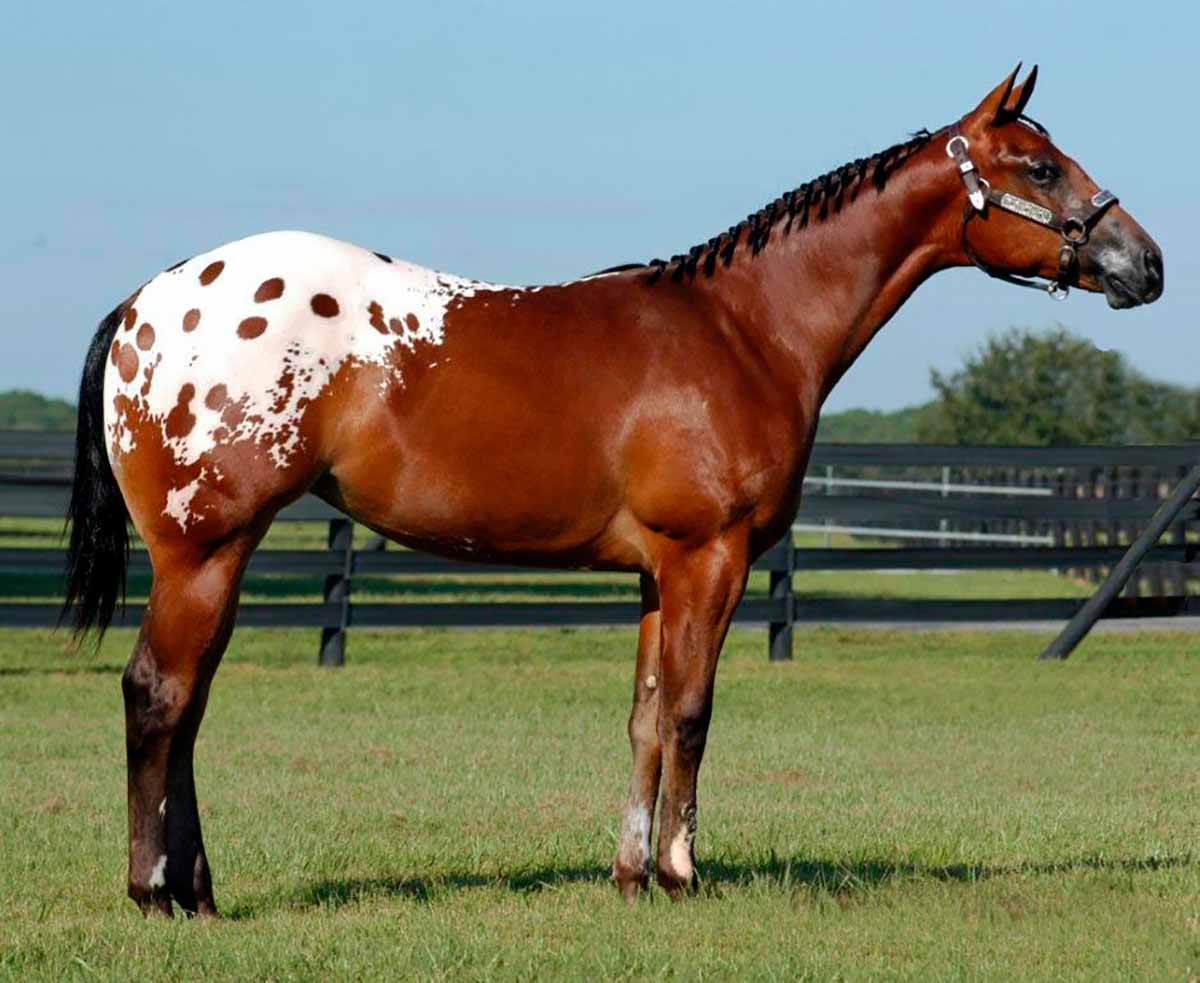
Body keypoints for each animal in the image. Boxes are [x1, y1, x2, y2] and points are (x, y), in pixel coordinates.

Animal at [58, 67, 1161, 916]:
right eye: (1040, 166)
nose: (1143, 263)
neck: (745, 329)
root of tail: (148, 298)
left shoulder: (654, 573)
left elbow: (643, 715)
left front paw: (629, 874)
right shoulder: (709, 555)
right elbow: (692, 714)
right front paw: (680, 874)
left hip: (221, 553)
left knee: (189, 703)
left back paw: (199, 889)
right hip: (204, 548)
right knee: (158, 694)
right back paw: (155, 891)